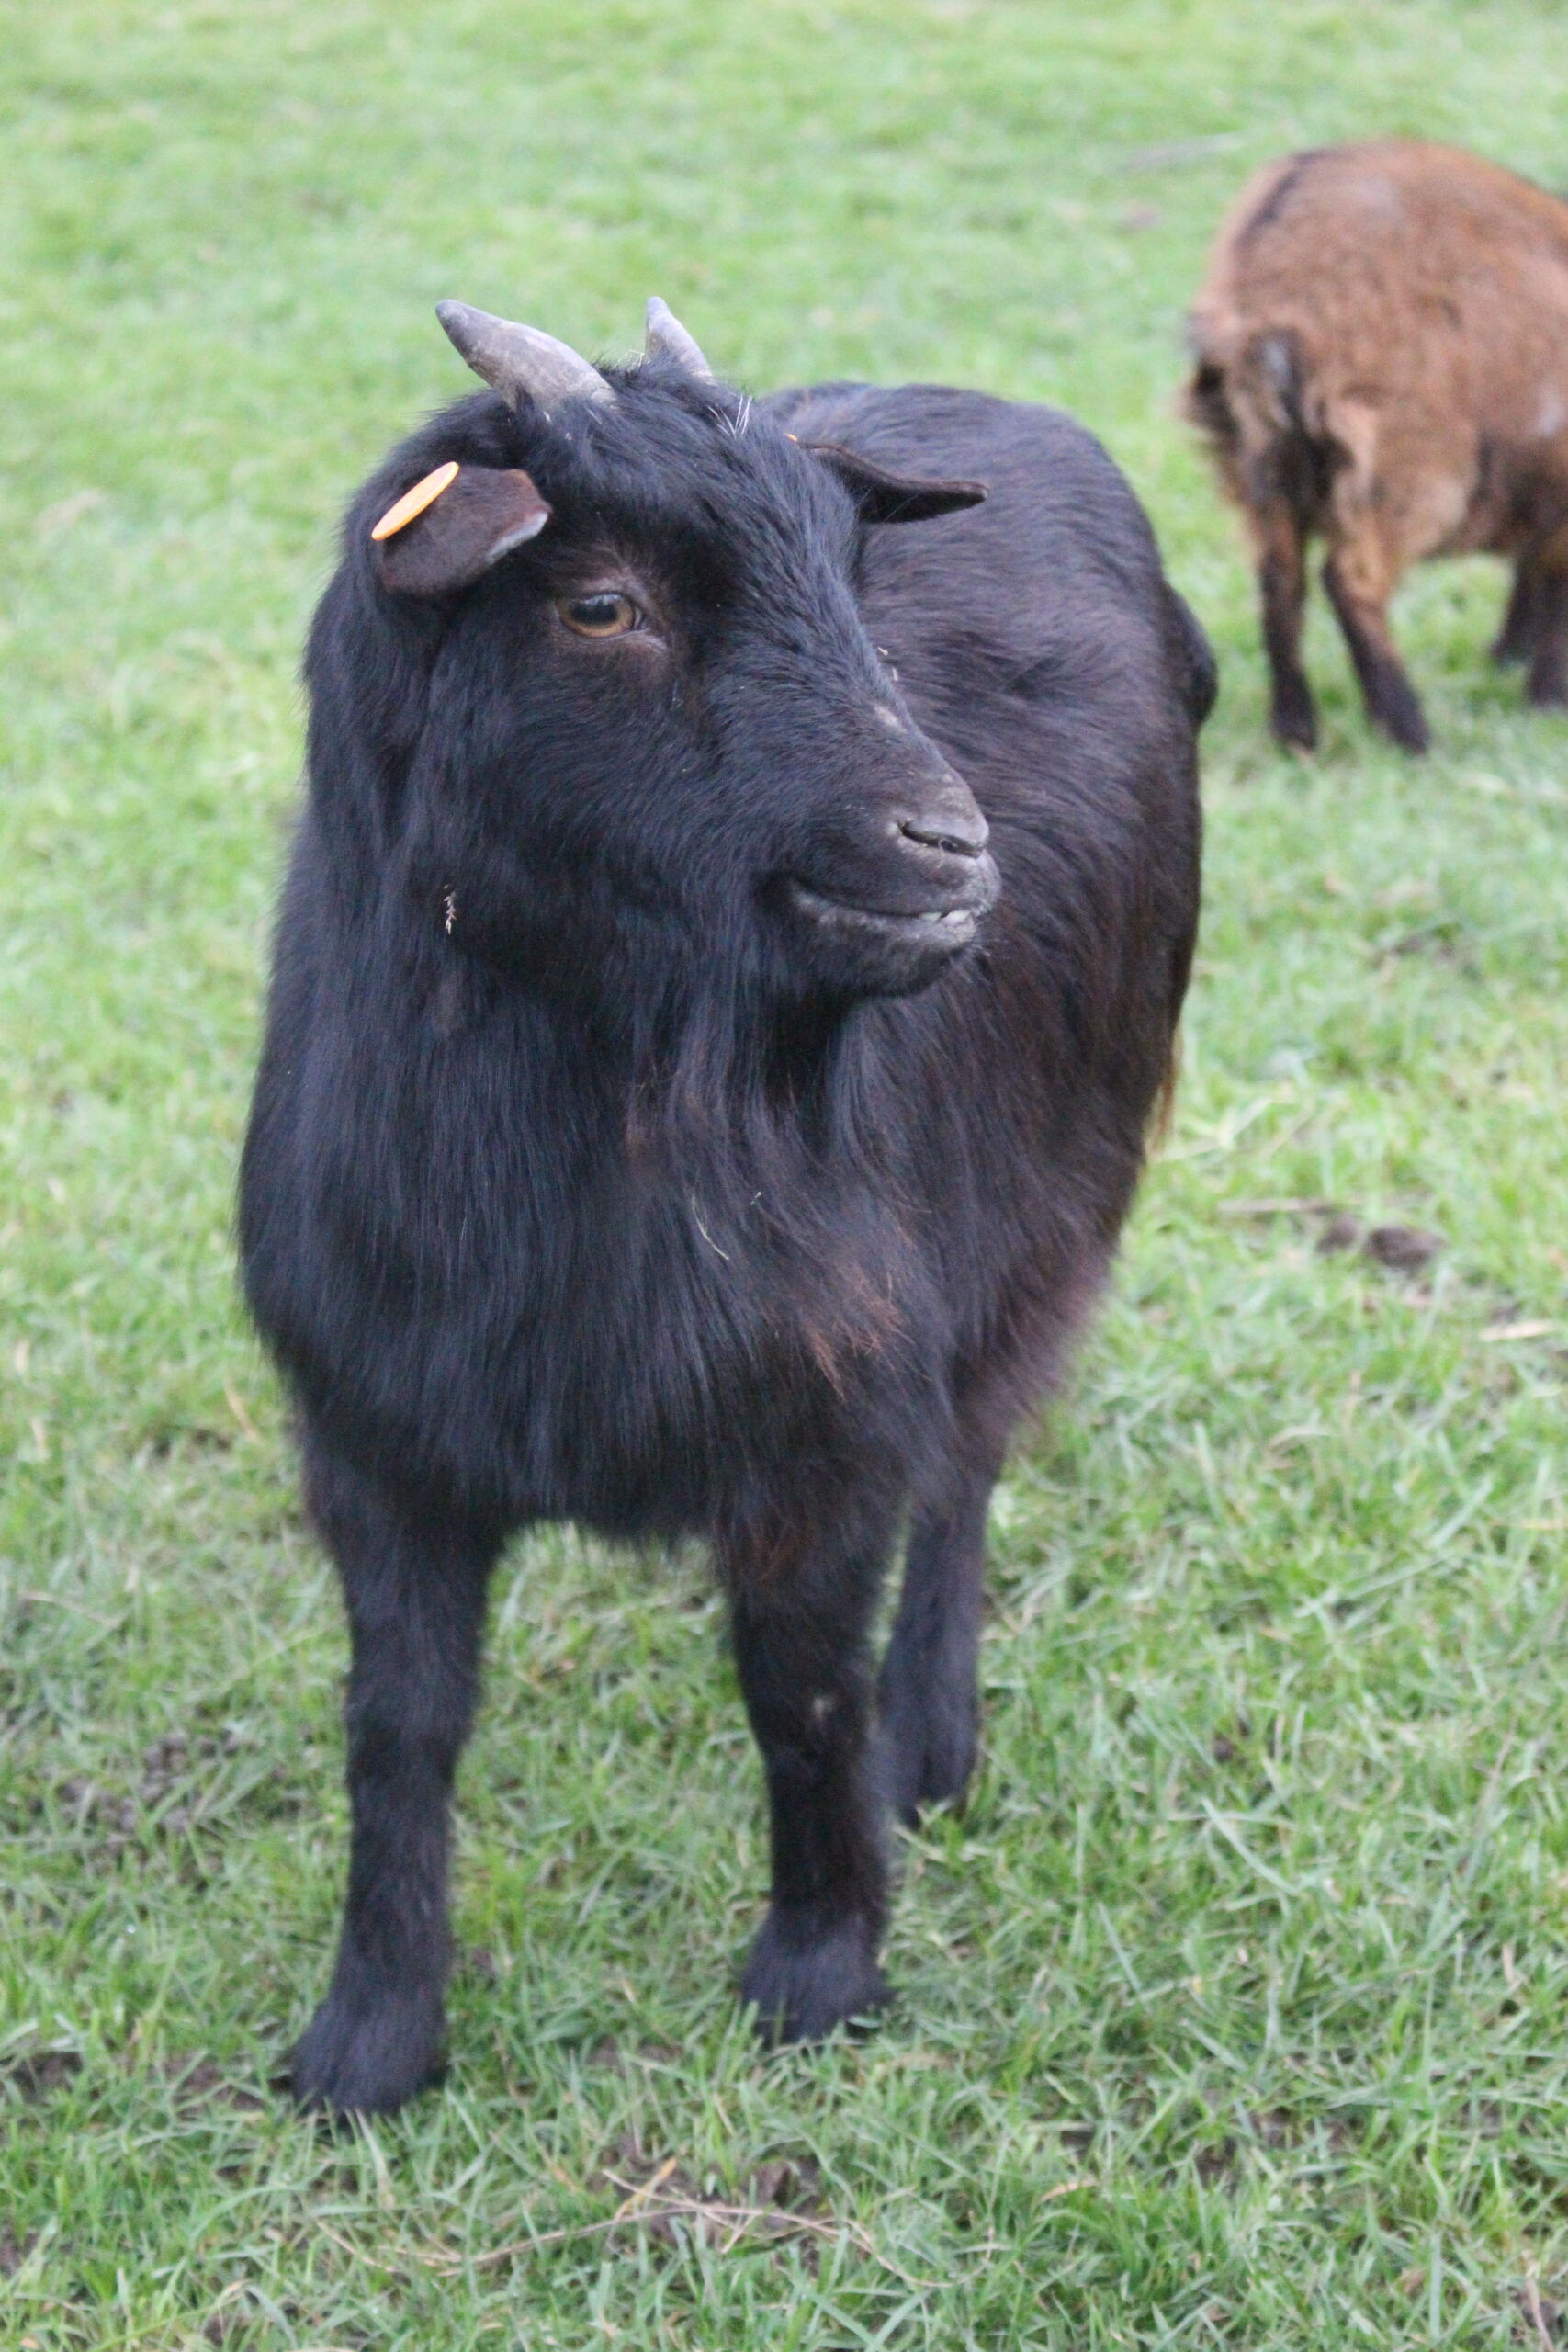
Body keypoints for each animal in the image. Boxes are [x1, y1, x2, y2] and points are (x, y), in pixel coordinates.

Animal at [239, 297, 1211, 2115]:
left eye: (848, 579)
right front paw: (369, 2038)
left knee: (968, 1465)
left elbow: (797, 1695)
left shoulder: (829, 1420)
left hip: (1053, 1198)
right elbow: (397, 1726)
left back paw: (930, 1743)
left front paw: (817, 1972)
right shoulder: (378, 1435)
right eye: (599, 603)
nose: (946, 847)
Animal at [1186, 139, 1568, 752]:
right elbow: (1555, 582)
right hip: (1405, 460)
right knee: (1351, 582)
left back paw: (1296, 731)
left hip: (1258, 460)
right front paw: (1548, 699)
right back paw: (1409, 734)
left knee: (1280, 582)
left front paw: (1510, 656)